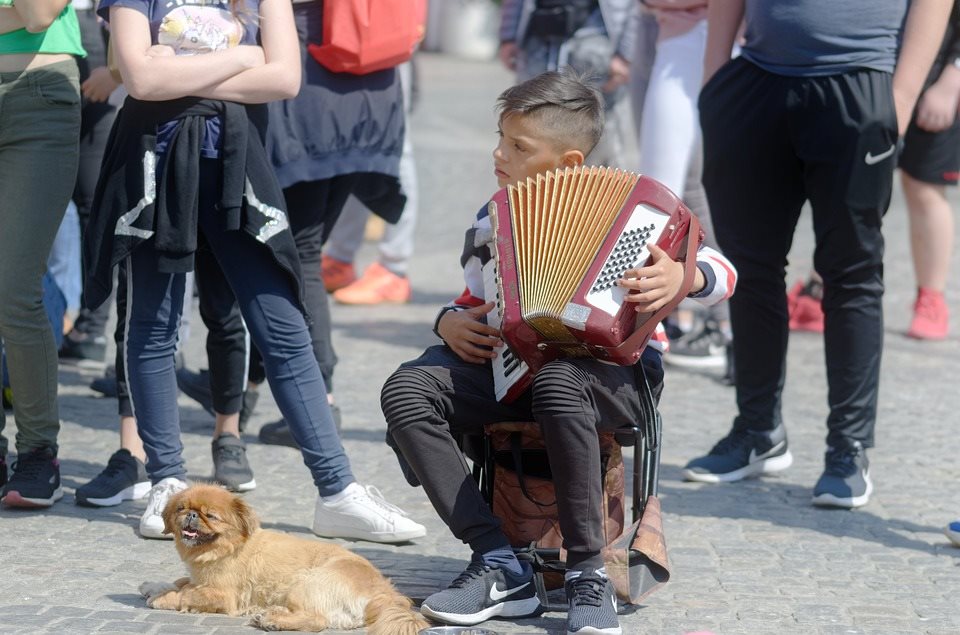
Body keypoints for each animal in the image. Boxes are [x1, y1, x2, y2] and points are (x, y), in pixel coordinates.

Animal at [139, 484, 432, 632]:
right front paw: (153, 586)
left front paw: (163, 598)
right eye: (181, 508)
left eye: (210, 516)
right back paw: (270, 614)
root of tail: (385, 591)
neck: (226, 548)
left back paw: (273, 621)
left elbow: (188, 592)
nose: (191, 515)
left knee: (318, 621)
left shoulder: (223, 596)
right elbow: (181, 581)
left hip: (305, 584)